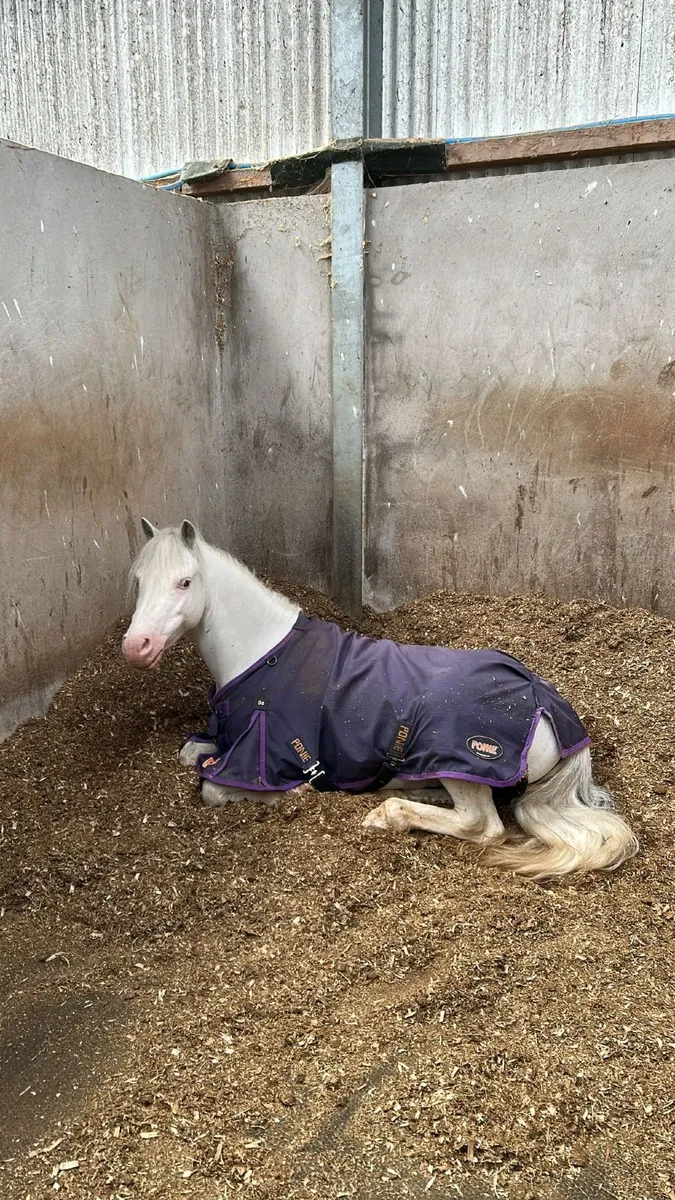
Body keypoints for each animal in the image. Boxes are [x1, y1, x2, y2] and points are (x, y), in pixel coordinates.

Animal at [122, 519, 638, 881]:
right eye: (138, 580)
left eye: (185, 582)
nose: (136, 647)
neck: (263, 653)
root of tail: (546, 704)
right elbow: (191, 752)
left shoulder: (261, 756)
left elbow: (215, 787)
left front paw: (294, 795)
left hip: (457, 756)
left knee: (481, 825)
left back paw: (388, 814)